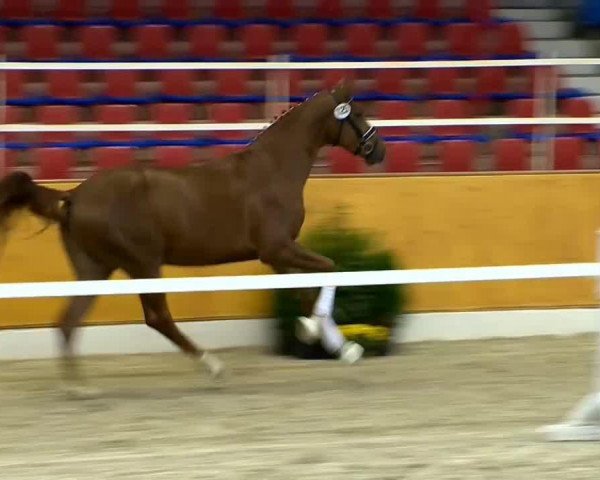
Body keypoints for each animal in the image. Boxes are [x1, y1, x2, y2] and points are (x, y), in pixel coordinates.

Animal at [0, 80, 386, 396]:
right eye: (358, 113)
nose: (379, 150)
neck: (272, 170)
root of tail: (75, 195)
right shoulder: (277, 247)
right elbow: (330, 268)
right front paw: (333, 340)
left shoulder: (276, 254)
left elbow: (306, 292)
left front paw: (335, 344)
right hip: (143, 263)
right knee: (157, 318)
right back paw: (212, 366)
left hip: (94, 269)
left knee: (68, 322)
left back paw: (78, 386)